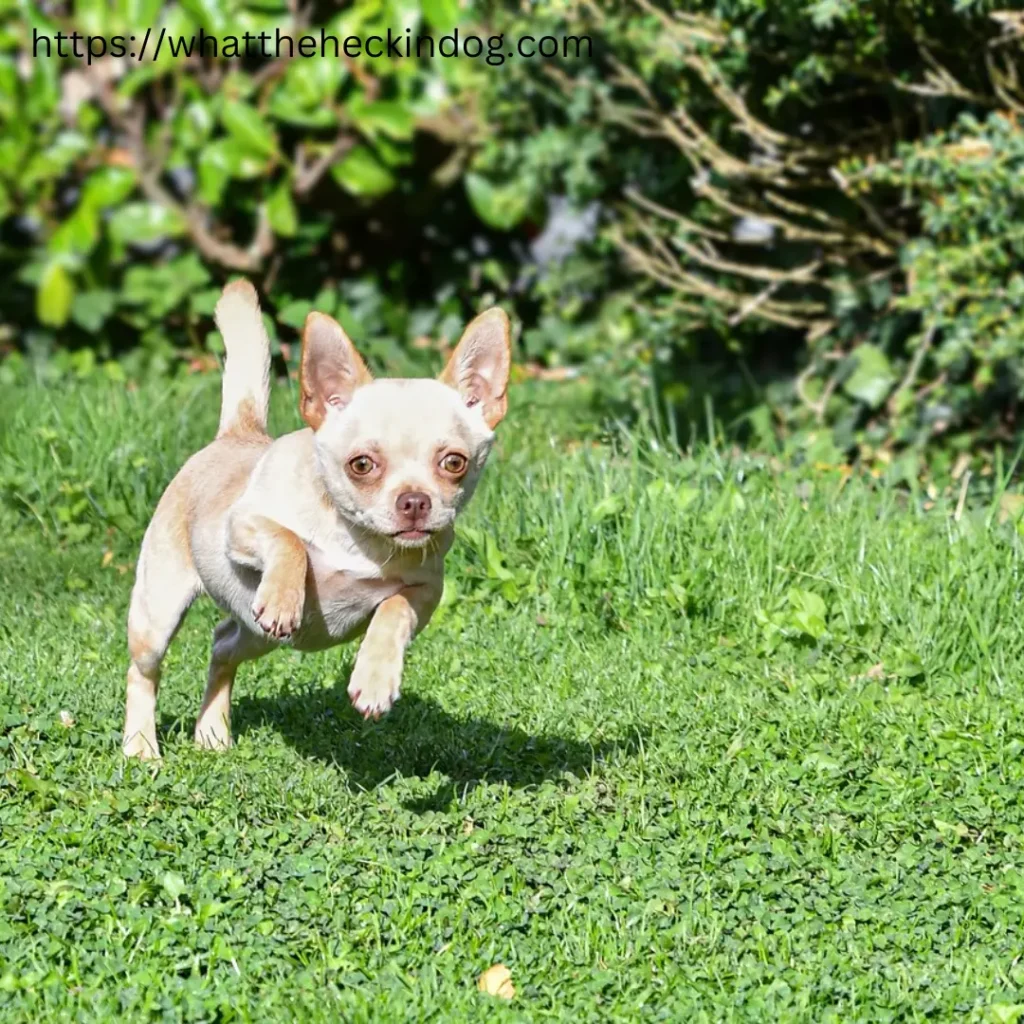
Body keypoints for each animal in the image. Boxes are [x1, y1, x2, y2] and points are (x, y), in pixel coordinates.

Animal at [123, 280, 512, 761]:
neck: (359, 540)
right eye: (361, 465)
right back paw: (140, 745)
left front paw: (375, 679)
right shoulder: (243, 526)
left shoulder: (424, 594)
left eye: (454, 462)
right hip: (159, 615)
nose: (415, 501)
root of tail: (237, 433)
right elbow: (289, 539)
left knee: (221, 645)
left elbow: (393, 610)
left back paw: (212, 730)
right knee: (144, 673)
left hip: (256, 634)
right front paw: (284, 596)